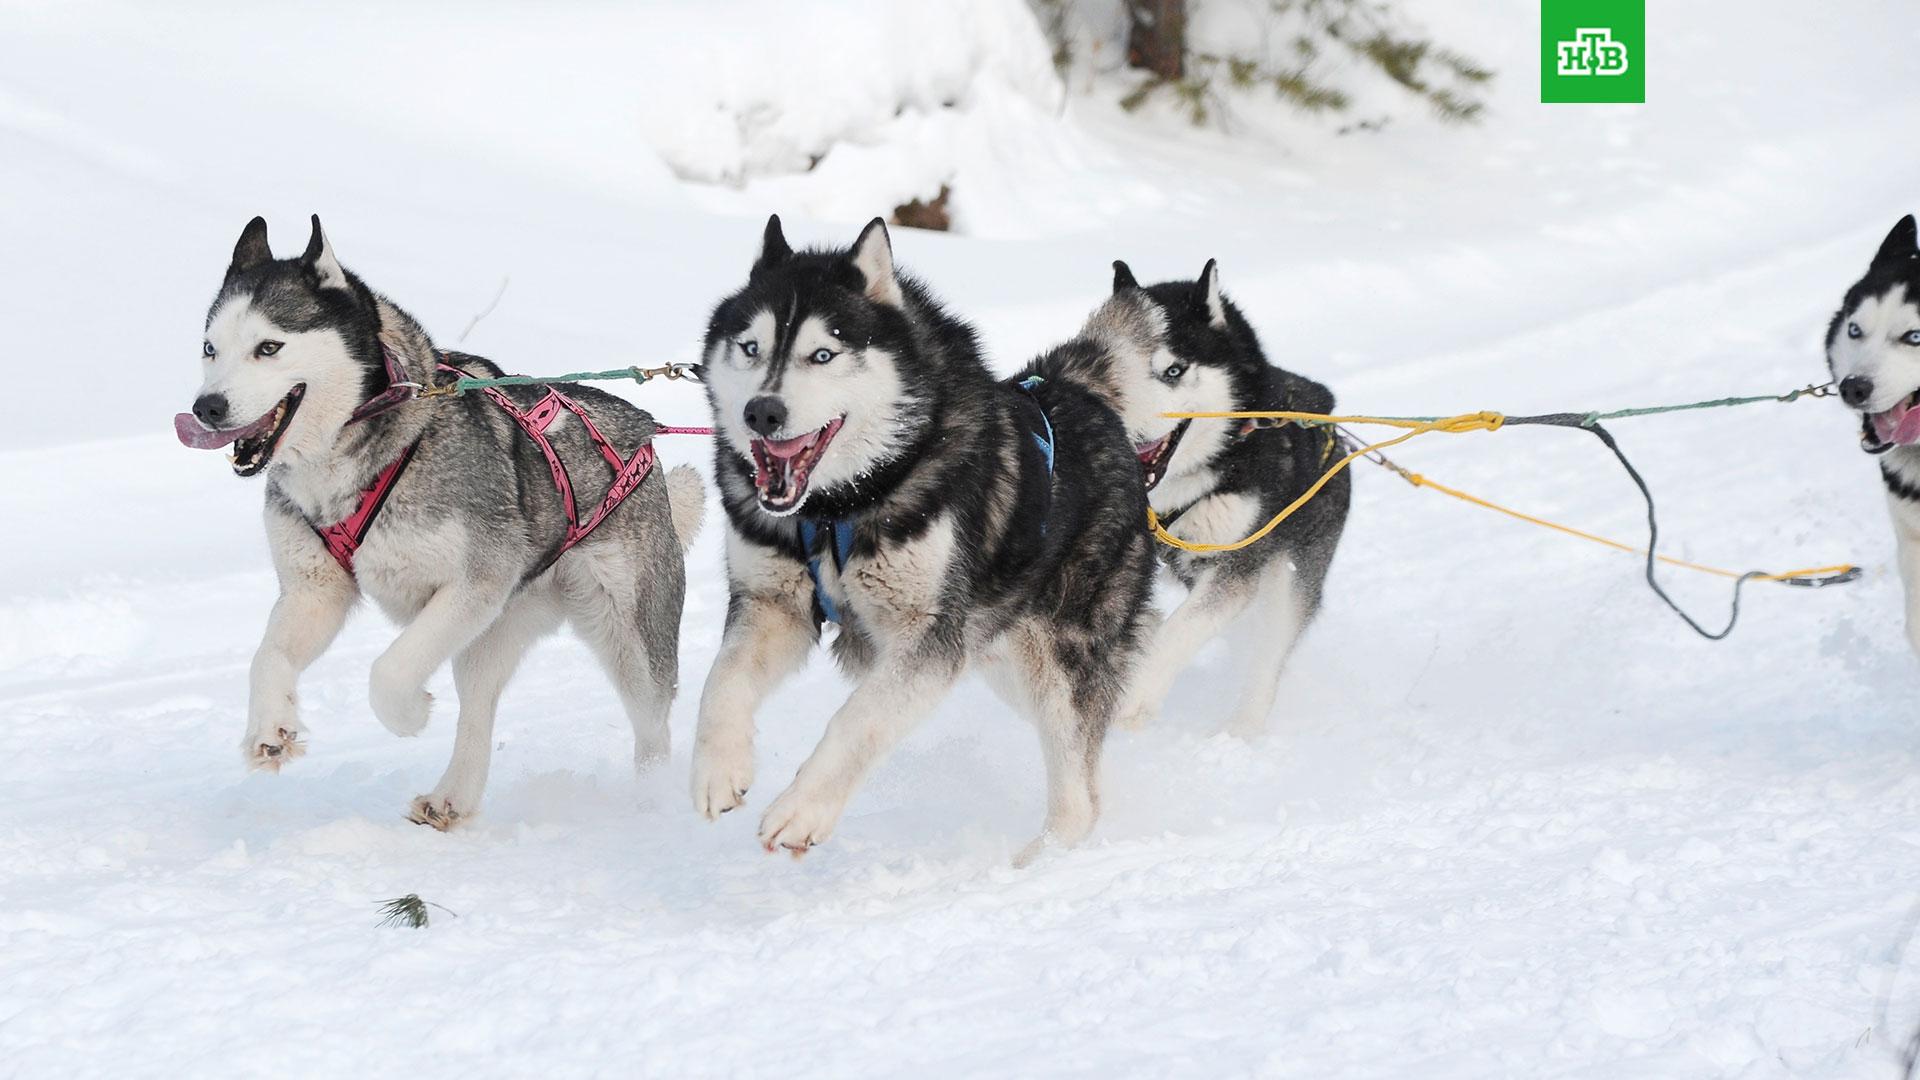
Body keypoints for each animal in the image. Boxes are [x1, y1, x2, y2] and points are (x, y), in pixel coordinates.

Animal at [178, 216, 706, 822]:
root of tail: (643, 435)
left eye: (269, 347)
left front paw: (408, 715)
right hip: (491, 632)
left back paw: (651, 799)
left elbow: (387, 671)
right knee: (478, 708)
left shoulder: (476, 581)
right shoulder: (315, 592)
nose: (206, 408)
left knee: (653, 724)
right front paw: (270, 728)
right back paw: (451, 797)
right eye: (210, 348)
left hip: (626, 636)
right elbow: (267, 658)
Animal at [687, 216, 1144, 857]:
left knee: (1079, 792)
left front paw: (802, 809)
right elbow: (721, 682)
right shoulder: (771, 605)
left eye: (823, 354)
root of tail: (1080, 395)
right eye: (751, 348)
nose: (762, 412)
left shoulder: (930, 639)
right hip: (1003, 659)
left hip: (1057, 661)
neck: (839, 506)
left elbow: (858, 721)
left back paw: (1040, 860)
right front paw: (717, 769)